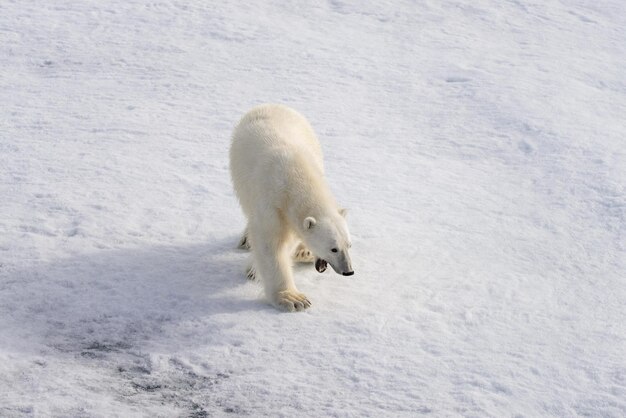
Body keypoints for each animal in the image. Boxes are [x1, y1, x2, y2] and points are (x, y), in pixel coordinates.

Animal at [229, 103, 354, 310]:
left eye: (349, 245)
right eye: (333, 249)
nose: (348, 271)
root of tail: (270, 104)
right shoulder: (270, 203)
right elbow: (271, 245)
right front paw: (293, 299)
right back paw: (246, 240)